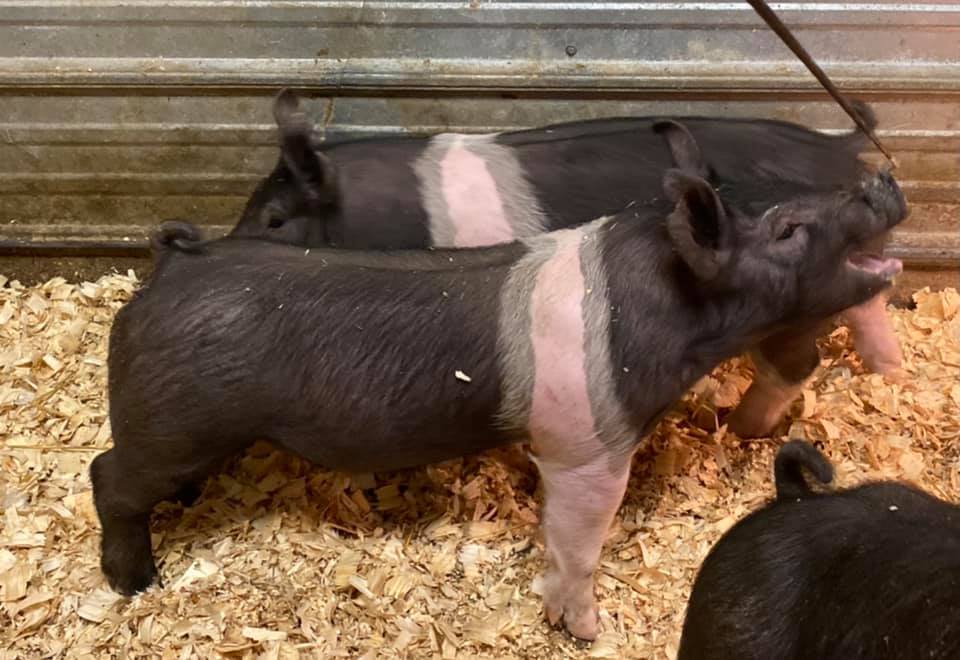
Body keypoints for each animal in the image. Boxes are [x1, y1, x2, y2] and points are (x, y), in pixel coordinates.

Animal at [91, 140, 907, 640]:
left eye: (794, 197)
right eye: (788, 229)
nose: (883, 180)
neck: (669, 308)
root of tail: (170, 269)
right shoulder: (585, 444)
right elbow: (577, 540)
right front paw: (588, 630)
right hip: (171, 418)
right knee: (107, 477)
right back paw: (136, 582)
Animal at [230, 90, 904, 438]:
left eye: (274, 218)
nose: (224, 244)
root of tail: (838, 146)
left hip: (792, 303)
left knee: (797, 362)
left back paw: (739, 427)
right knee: (868, 302)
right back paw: (888, 372)